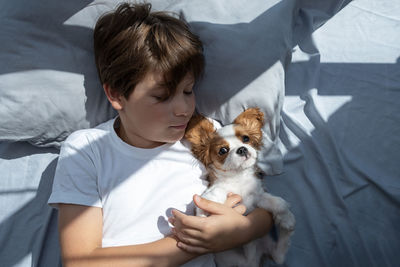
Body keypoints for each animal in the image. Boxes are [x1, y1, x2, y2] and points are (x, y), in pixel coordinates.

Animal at [184, 108, 294, 266]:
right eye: (223, 150)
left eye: (246, 139)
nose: (242, 149)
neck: (238, 178)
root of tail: (252, 261)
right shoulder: (219, 190)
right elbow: (211, 195)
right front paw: (204, 212)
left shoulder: (257, 197)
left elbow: (279, 202)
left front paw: (286, 218)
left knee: (278, 255)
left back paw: (286, 229)